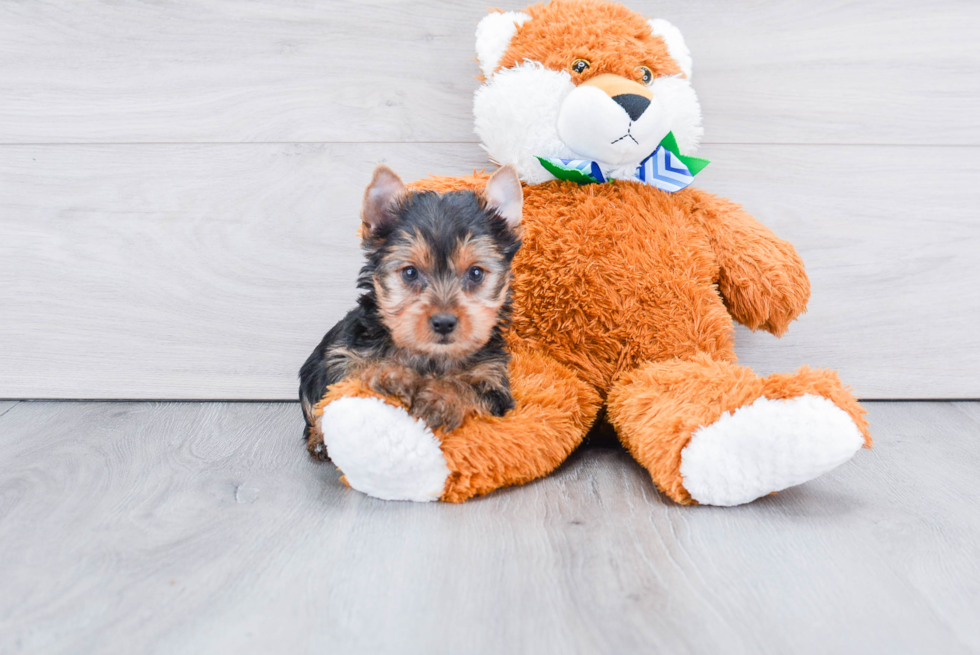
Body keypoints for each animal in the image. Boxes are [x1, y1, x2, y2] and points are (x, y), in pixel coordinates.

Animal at [298, 164, 524, 462]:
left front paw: (440, 397)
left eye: (476, 273)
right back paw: (319, 441)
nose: (443, 322)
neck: (431, 357)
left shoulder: (494, 380)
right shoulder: (341, 354)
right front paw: (393, 375)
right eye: (409, 273)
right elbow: (354, 372)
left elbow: (472, 389)